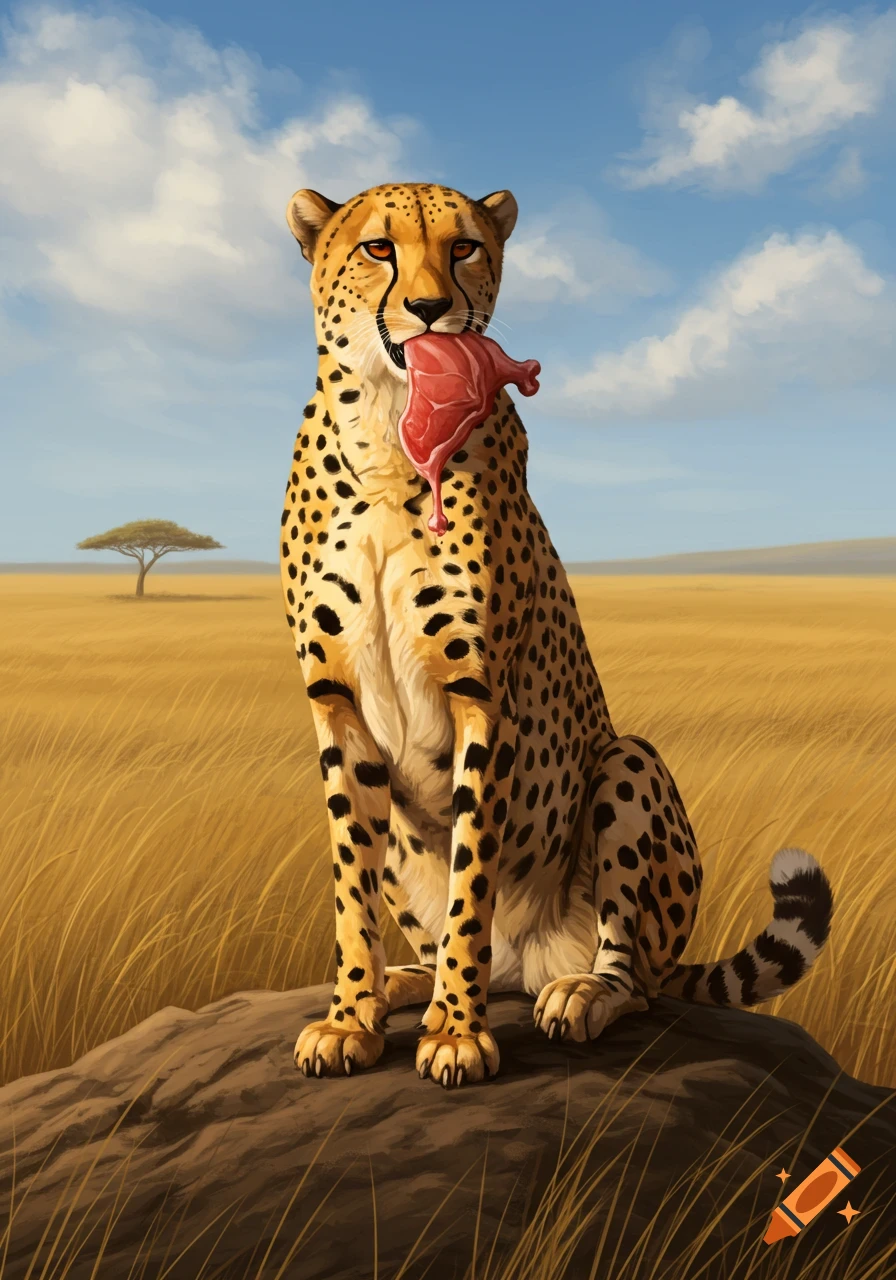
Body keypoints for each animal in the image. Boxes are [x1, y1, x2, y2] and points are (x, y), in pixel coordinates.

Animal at [279, 181, 834, 1089]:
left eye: (465, 247)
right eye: (378, 249)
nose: (431, 309)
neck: (398, 437)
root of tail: (527, 964)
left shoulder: (483, 701)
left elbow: (472, 881)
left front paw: (457, 1034)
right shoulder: (337, 707)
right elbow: (348, 887)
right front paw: (350, 1016)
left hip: (626, 765)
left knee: (633, 976)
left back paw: (577, 994)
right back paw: (408, 980)